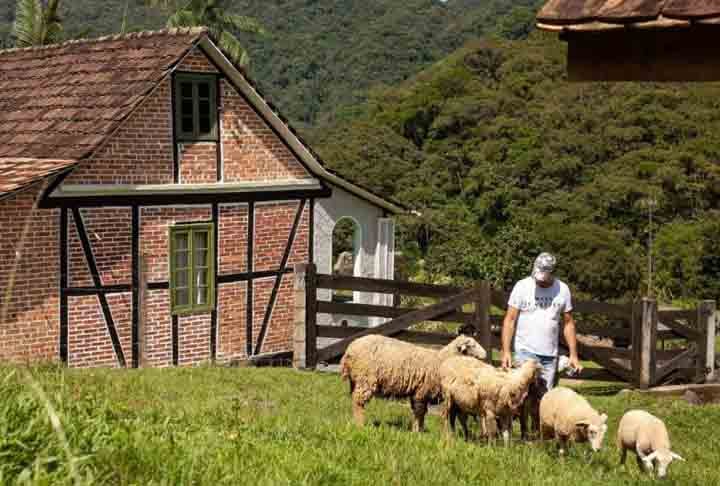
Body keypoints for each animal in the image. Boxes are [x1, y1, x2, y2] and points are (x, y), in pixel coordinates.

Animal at [338, 334, 486, 432]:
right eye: (472, 345)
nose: (485, 355)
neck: (440, 361)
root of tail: (350, 349)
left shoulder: (419, 392)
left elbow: (420, 412)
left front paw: (419, 430)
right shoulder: (422, 391)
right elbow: (419, 412)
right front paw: (417, 431)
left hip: (357, 380)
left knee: (355, 400)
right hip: (366, 379)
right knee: (358, 402)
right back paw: (360, 425)